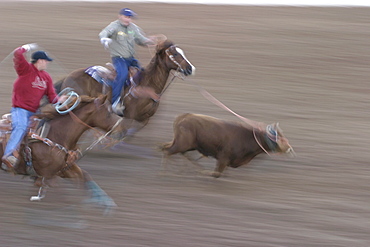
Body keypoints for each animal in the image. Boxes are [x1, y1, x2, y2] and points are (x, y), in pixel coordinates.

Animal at [0, 93, 128, 213]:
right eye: (108, 113)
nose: (122, 131)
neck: (56, 135)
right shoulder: (48, 175)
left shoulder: (64, 168)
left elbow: (85, 177)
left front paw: (105, 203)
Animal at [55, 39, 197, 126]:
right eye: (175, 54)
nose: (191, 69)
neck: (147, 84)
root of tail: (67, 77)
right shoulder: (129, 116)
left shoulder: (144, 119)